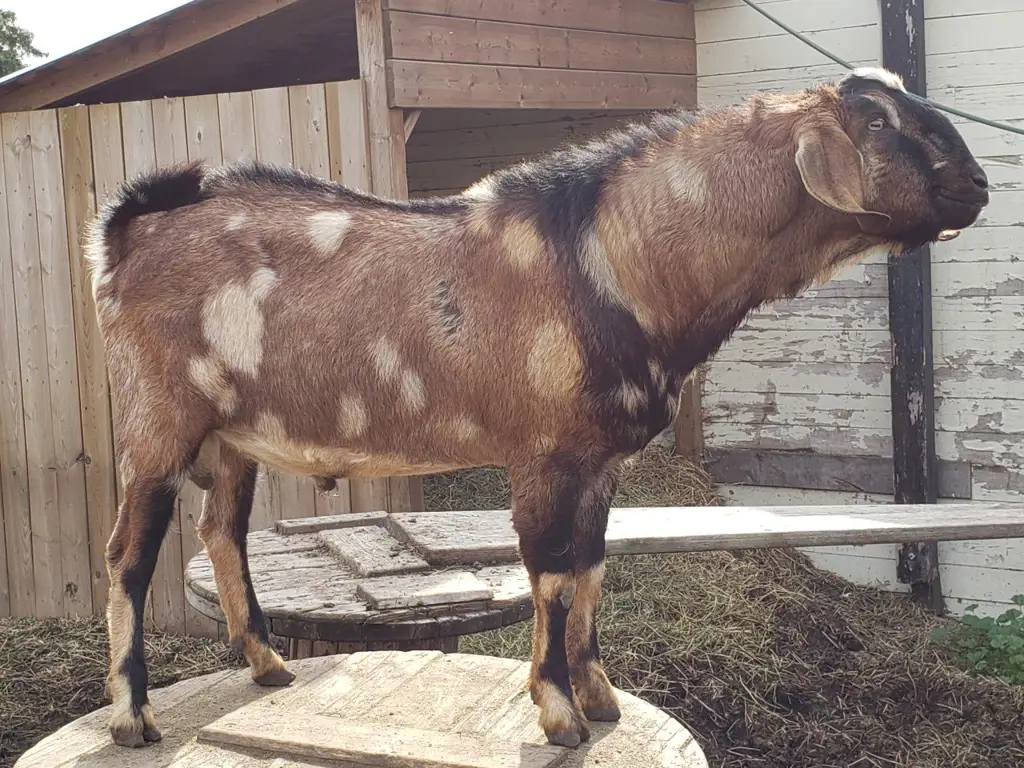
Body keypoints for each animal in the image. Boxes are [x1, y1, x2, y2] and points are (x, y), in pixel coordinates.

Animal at [88, 67, 991, 753]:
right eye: (879, 121)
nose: (980, 185)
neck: (618, 262)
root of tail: (129, 232)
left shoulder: (599, 460)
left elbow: (590, 566)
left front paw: (600, 697)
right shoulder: (545, 453)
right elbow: (552, 575)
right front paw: (559, 714)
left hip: (230, 434)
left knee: (222, 530)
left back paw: (268, 666)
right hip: (158, 420)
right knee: (129, 554)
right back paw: (133, 716)